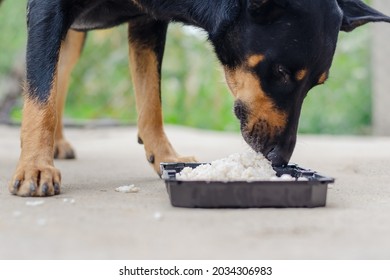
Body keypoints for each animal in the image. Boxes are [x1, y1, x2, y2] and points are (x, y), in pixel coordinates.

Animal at [7, 0, 390, 197]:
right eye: (281, 72)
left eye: (315, 84)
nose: (279, 158)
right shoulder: (48, 9)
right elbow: (40, 93)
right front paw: (36, 166)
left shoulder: (148, 21)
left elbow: (152, 99)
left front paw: (164, 155)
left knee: (62, 70)